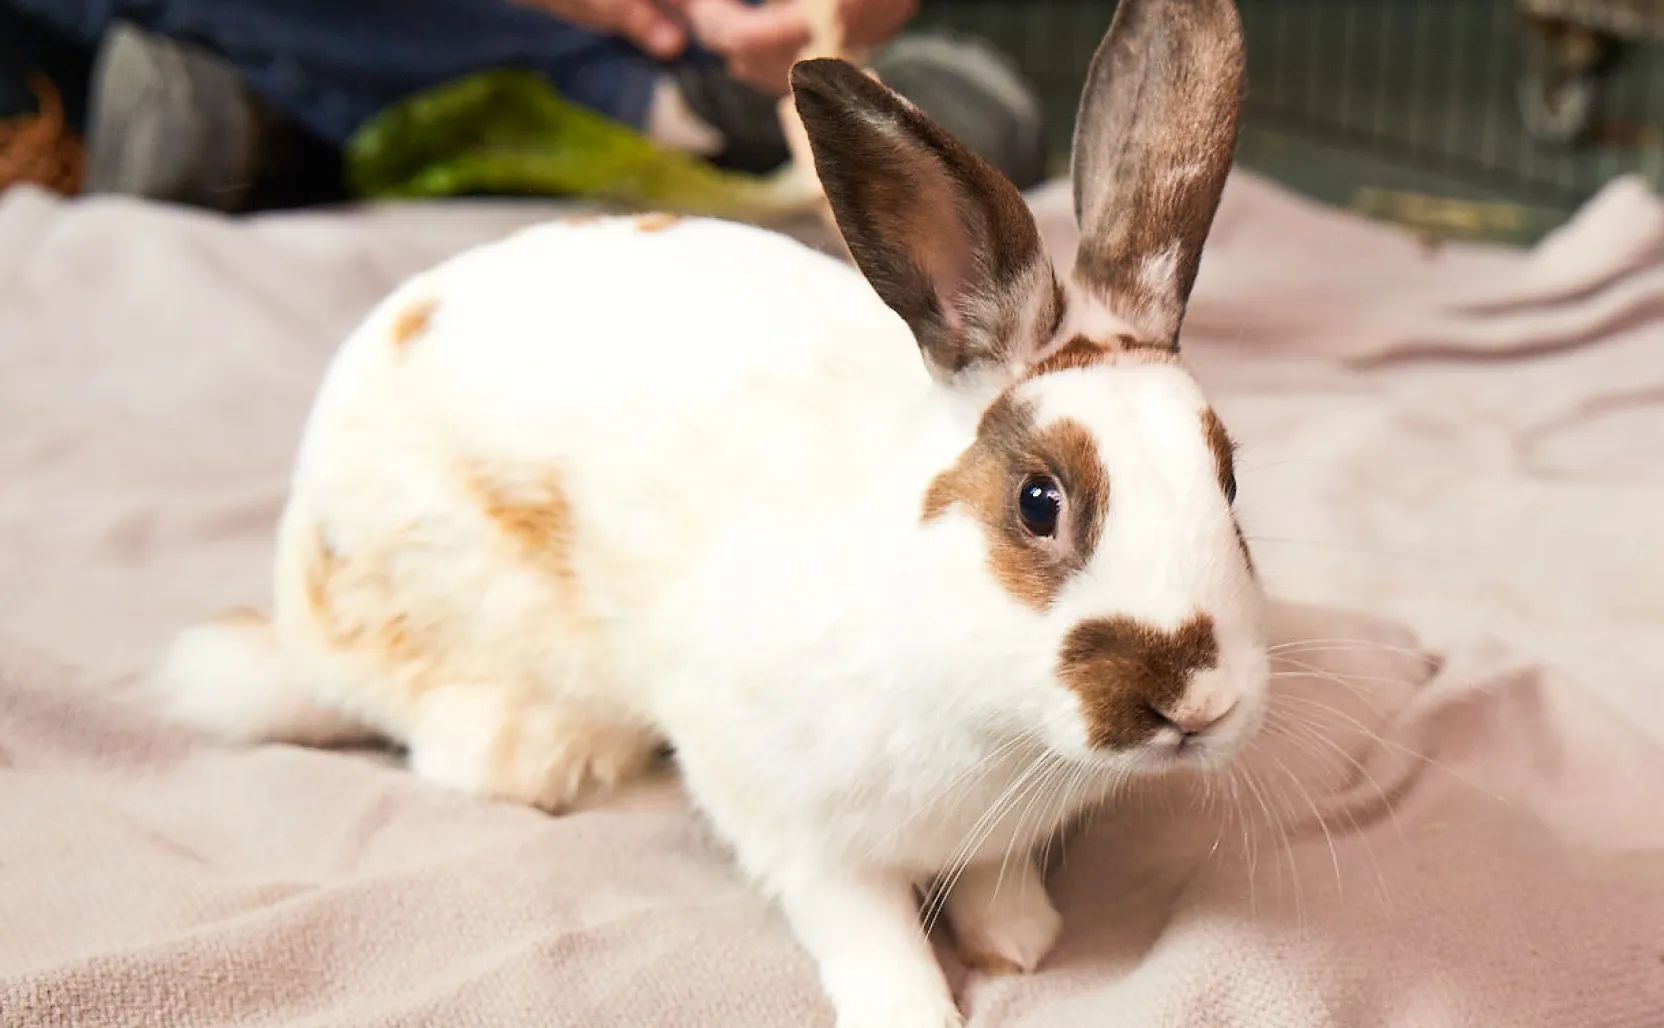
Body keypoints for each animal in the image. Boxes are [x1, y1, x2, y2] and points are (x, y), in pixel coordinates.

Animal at [156, 4, 1264, 1018]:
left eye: (1228, 480)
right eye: (1039, 503)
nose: (1197, 698)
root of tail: (299, 615)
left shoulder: (993, 837)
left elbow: (996, 880)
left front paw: (1020, 944)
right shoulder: (796, 828)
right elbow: (869, 930)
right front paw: (913, 1006)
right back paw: (561, 757)